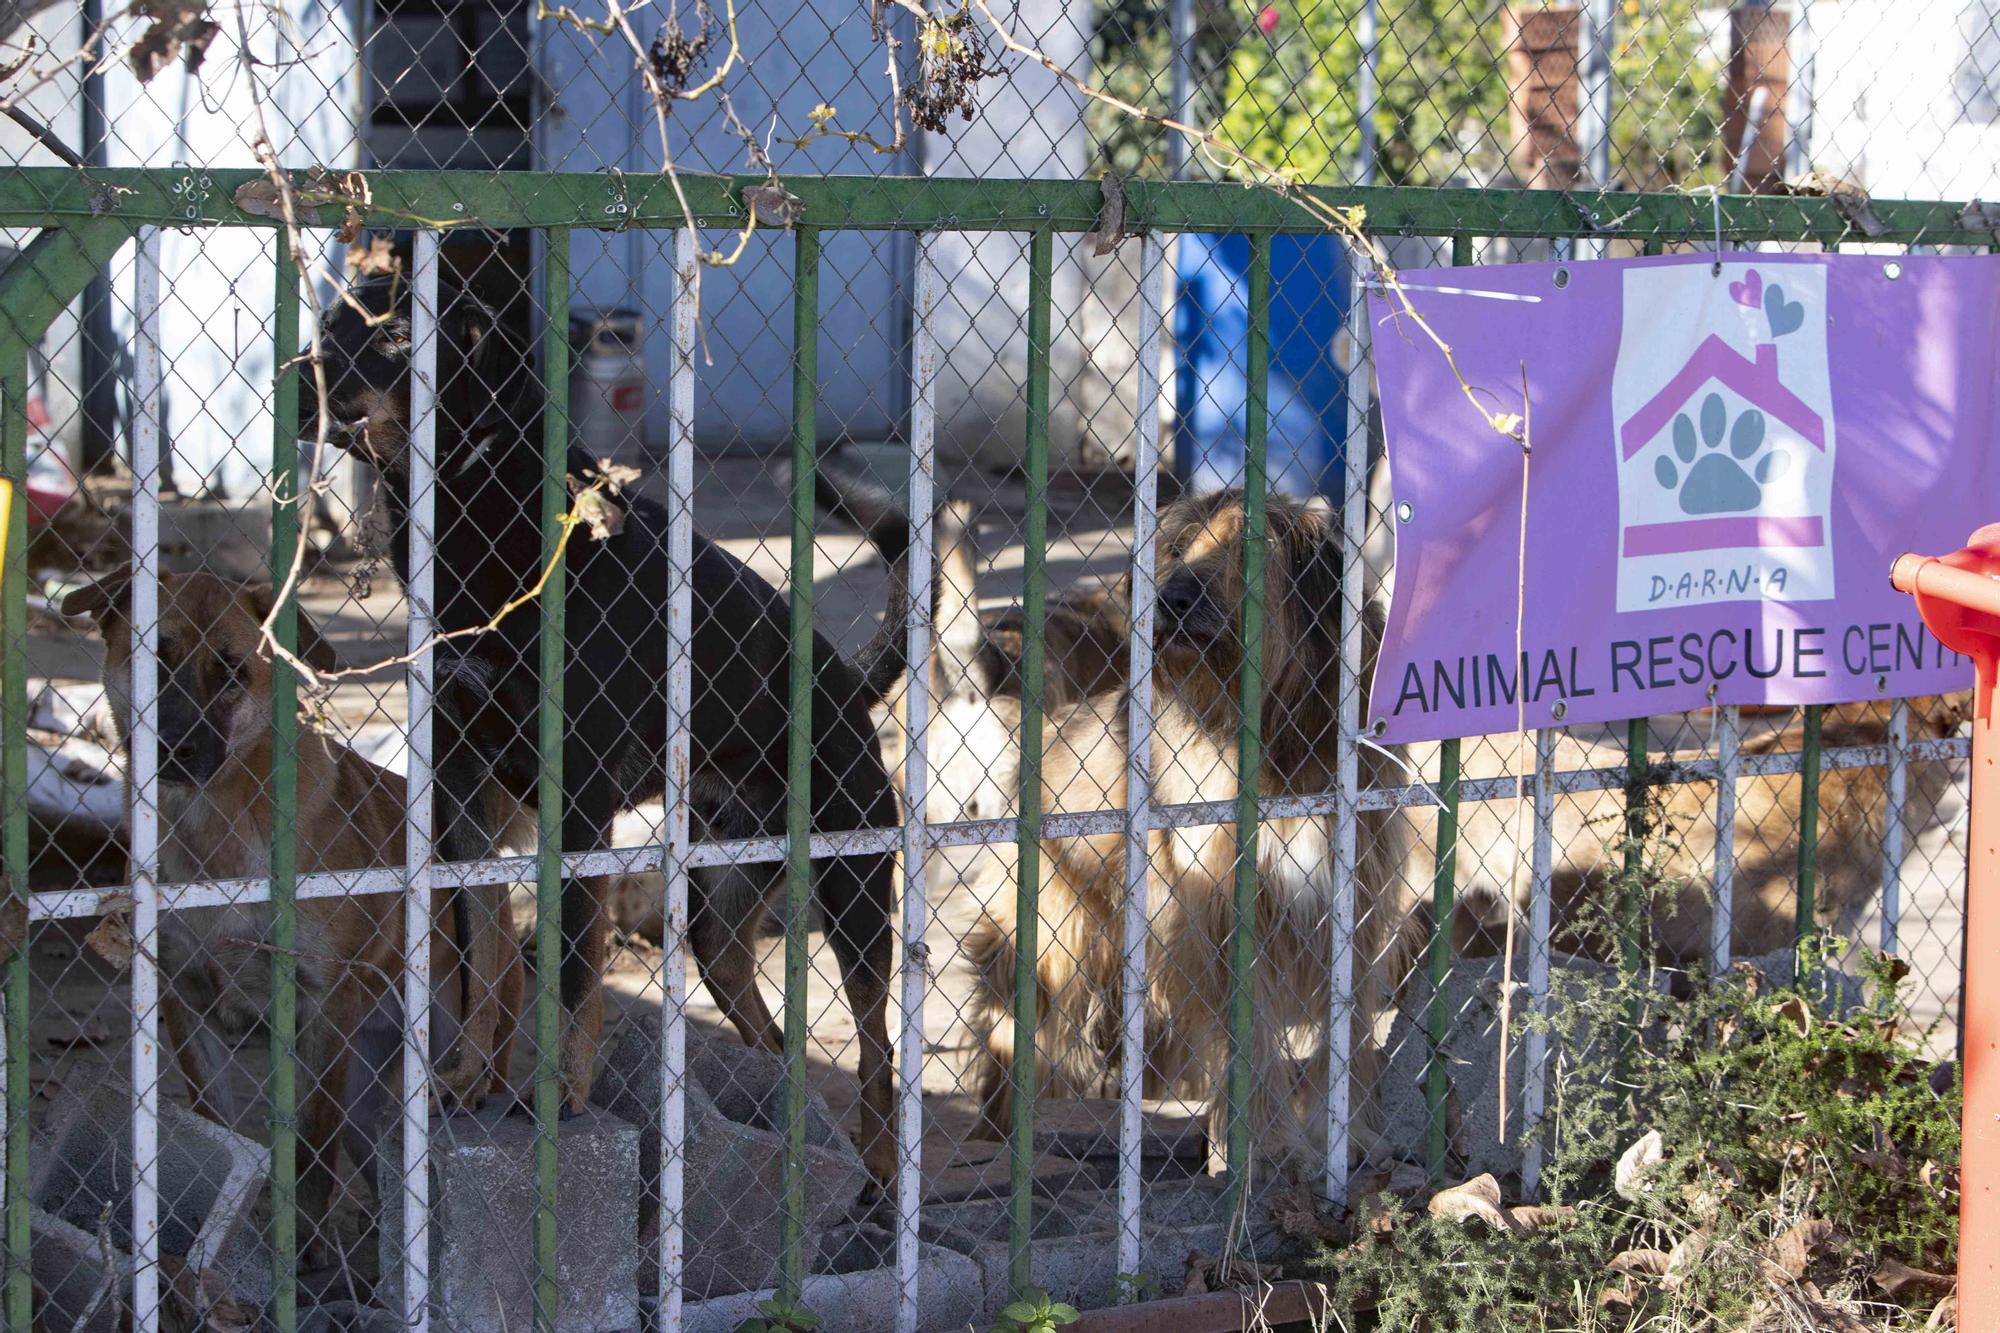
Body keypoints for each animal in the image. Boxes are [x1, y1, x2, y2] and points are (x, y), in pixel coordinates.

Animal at [65, 572, 524, 1256]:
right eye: (152, 660)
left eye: (232, 674)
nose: (172, 750)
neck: (216, 838)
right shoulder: (184, 1000)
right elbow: (219, 1124)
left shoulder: (323, 1006)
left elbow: (310, 1147)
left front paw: (303, 1241)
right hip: (368, 1111)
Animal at [312, 260, 916, 1176]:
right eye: (328, 327)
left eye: (393, 334)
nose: (307, 376)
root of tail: (848, 683)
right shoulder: (461, 787)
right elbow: (486, 956)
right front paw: (471, 1076)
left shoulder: (579, 807)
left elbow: (568, 973)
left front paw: (559, 1094)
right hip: (715, 922)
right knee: (769, 1032)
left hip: (854, 895)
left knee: (877, 1043)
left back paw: (878, 1170)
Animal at [960, 486, 1416, 1160]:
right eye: (1176, 549)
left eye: (1244, 545)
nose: (1166, 597)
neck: (1281, 732)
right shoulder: (1221, 917)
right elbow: (1248, 1039)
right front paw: (1260, 1146)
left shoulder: (1356, 908)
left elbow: (1351, 1031)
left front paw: (1346, 1133)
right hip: (1054, 944)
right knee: (1013, 1043)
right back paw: (996, 1140)